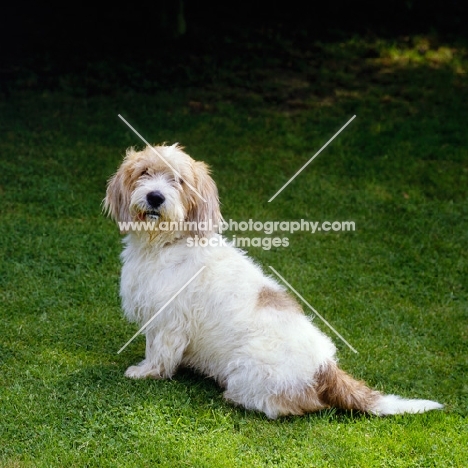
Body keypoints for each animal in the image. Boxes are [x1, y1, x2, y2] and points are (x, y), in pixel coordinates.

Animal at [104, 144, 444, 418]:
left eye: (180, 180)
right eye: (145, 172)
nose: (155, 197)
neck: (166, 243)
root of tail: (325, 368)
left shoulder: (168, 322)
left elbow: (159, 353)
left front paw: (145, 372)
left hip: (247, 370)